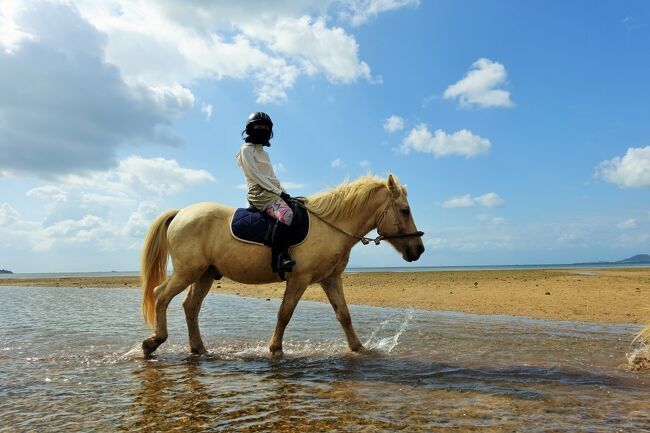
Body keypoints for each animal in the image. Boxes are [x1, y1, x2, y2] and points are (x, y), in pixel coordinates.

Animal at [140, 174, 426, 356]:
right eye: (404, 211)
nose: (419, 250)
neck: (330, 226)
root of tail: (181, 213)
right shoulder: (299, 278)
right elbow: (284, 313)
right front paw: (275, 349)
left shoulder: (330, 279)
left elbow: (344, 315)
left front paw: (358, 349)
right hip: (187, 271)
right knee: (160, 295)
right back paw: (153, 343)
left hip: (205, 274)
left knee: (191, 307)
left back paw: (198, 349)